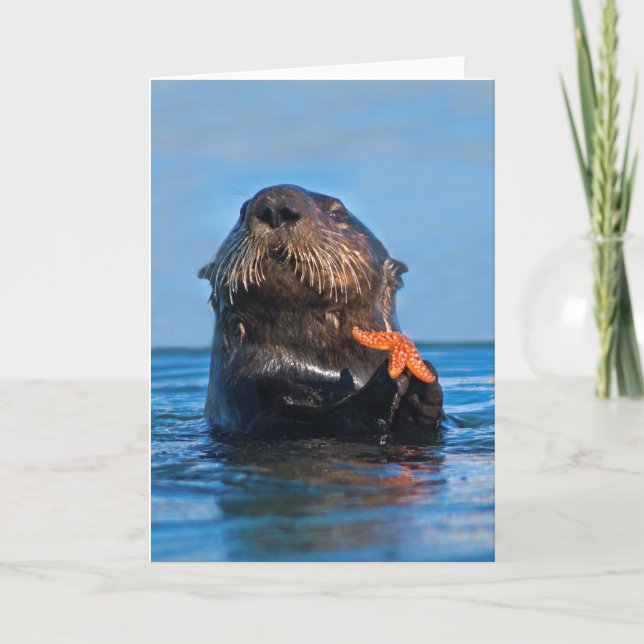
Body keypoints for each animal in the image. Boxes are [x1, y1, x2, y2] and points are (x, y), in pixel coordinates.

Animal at [199, 184, 443, 438]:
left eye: (338, 213)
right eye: (242, 211)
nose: (274, 205)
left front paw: (423, 390)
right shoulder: (250, 403)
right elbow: (312, 421)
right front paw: (387, 381)